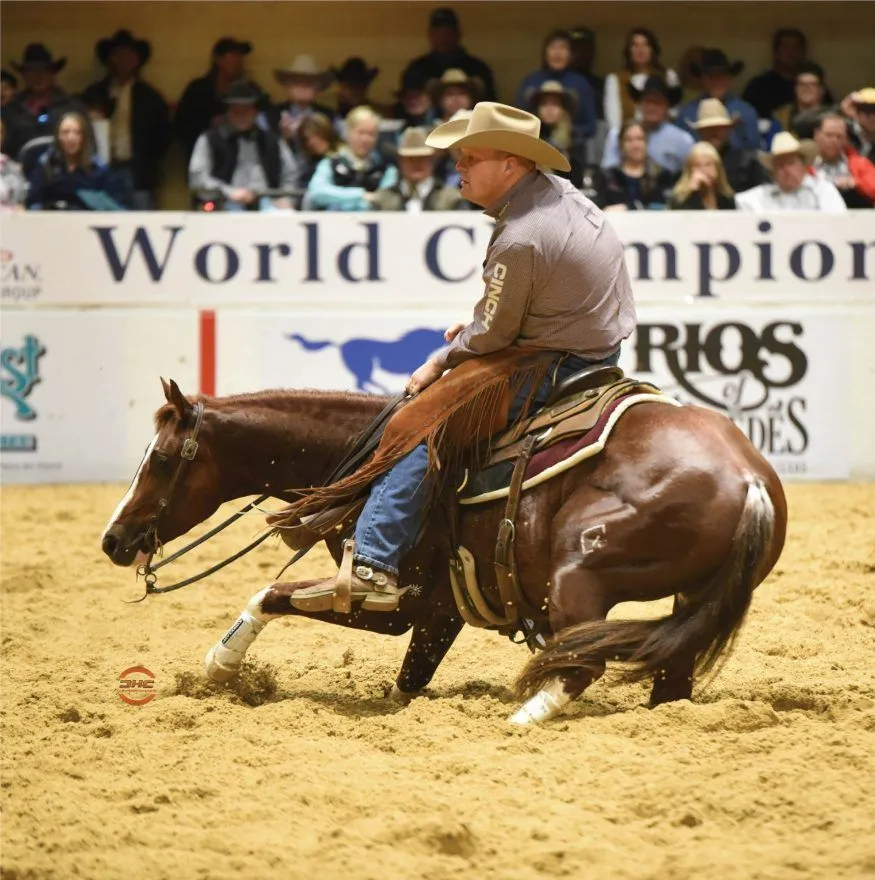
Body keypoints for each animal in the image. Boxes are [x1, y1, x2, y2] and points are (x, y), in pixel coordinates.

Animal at [102, 377, 787, 725]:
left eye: (162, 460)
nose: (112, 540)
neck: (364, 460)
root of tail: (747, 478)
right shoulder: (438, 612)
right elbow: (409, 681)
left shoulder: (392, 600)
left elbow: (271, 592)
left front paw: (220, 666)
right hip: (690, 599)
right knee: (669, 677)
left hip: (578, 573)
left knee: (580, 662)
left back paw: (522, 718)